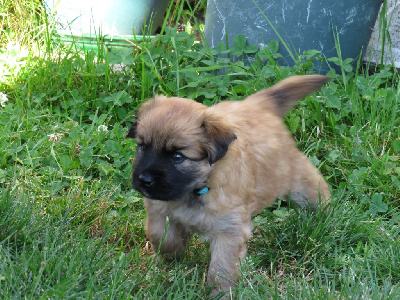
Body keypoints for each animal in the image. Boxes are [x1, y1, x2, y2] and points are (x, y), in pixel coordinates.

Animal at [127, 75, 332, 296]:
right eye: (143, 146)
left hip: (294, 178)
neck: (197, 188)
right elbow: (161, 235)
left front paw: (221, 293)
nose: (144, 180)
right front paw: (170, 257)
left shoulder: (229, 229)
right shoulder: (159, 208)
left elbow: (222, 267)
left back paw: (324, 211)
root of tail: (257, 104)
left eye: (177, 156)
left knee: (313, 184)